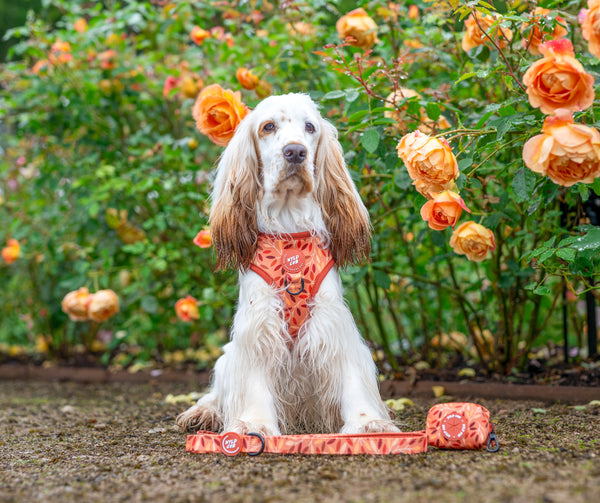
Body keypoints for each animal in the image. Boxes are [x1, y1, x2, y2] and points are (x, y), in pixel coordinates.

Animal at [175, 94, 398, 438]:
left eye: (310, 127)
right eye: (268, 127)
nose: (295, 152)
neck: (290, 227)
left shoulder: (332, 321)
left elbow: (351, 380)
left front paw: (368, 425)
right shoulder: (259, 323)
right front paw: (253, 425)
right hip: (227, 356)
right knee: (217, 392)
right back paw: (202, 412)